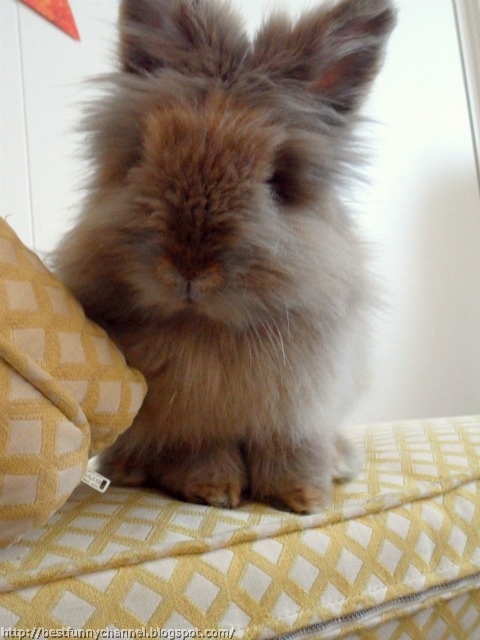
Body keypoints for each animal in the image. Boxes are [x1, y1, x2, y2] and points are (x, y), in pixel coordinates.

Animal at [54, 0, 396, 512]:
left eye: (280, 181)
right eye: (143, 156)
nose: (188, 269)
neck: (206, 330)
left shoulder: (299, 409)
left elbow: (292, 449)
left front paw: (304, 497)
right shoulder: (189, 423)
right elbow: (200, 449)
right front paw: (213, 490)